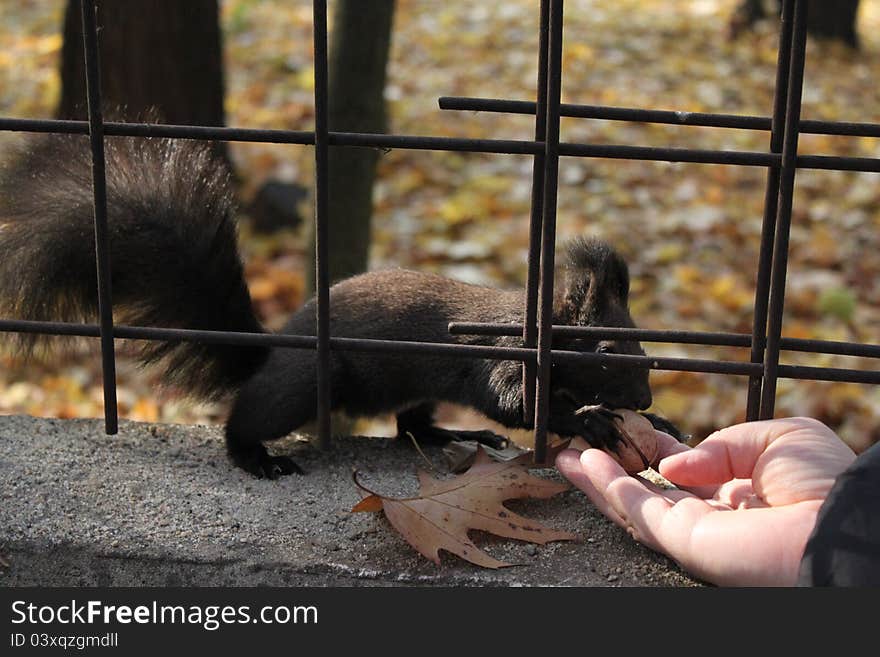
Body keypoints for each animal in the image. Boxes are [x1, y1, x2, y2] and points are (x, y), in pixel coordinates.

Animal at [0, 136, 680, 480]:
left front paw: (660, 422)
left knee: (413, 426)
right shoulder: (502, 357)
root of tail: (271, 354)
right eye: (609, 352)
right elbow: (518, 402)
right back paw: (256, 458)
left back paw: (453, 433)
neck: (532, 324)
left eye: (642, 346)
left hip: (409, 387)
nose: (645, 399)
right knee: (249, 417)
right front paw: (588, 418)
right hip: (306, 384)